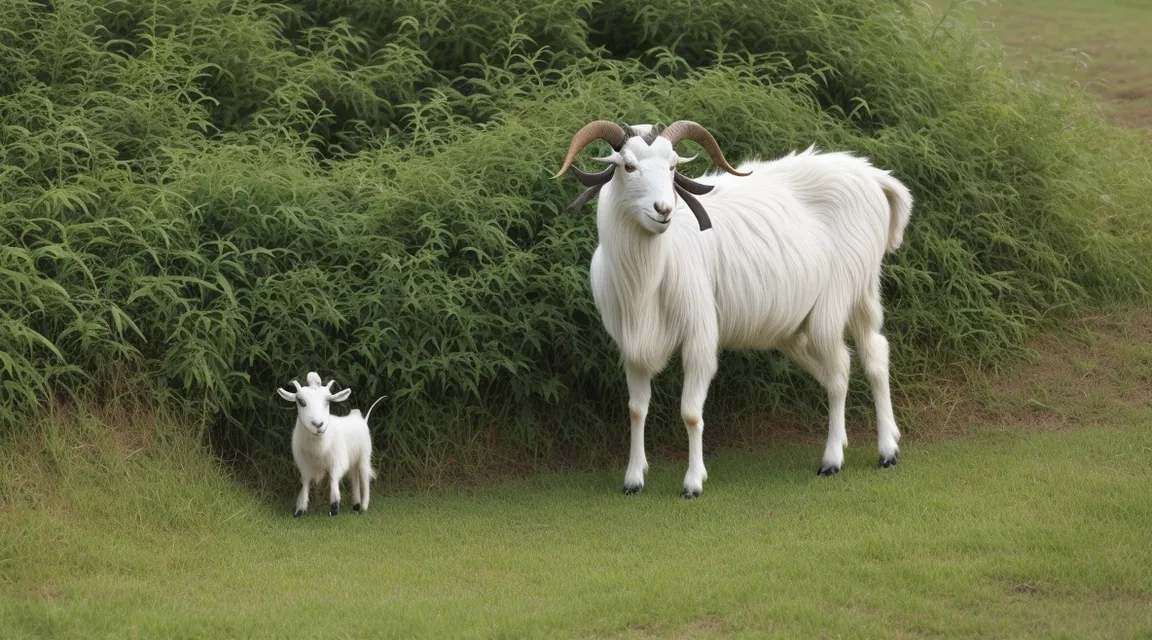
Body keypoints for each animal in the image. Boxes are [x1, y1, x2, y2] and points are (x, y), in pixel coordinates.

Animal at [276, 372, 384, 517]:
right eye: (301, 402)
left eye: (328, 401)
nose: (318, 424)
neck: (318, 448)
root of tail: (360, 419)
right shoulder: (303, 464)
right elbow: (305, 482)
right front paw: (299, 510)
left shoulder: (338, 460)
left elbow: (333, 478)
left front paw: (334, 508)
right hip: (353, 459)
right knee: (354, 476)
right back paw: (355, 506)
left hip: (364, 455)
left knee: (364, 476)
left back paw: (363, 507)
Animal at [552, 121, 912, 499]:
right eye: (628, 166)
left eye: (673, 166)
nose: (663, 209)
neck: (648, 276)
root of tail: (872, 175)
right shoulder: (632, 347)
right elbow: (636, 411)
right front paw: (633, 479)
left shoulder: (699, 337)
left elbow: (691, 413)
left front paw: (693, 483)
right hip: (839, 305)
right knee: (868, 357)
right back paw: (874, 444)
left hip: (836, 300)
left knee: (843, 369)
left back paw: (849, 458)